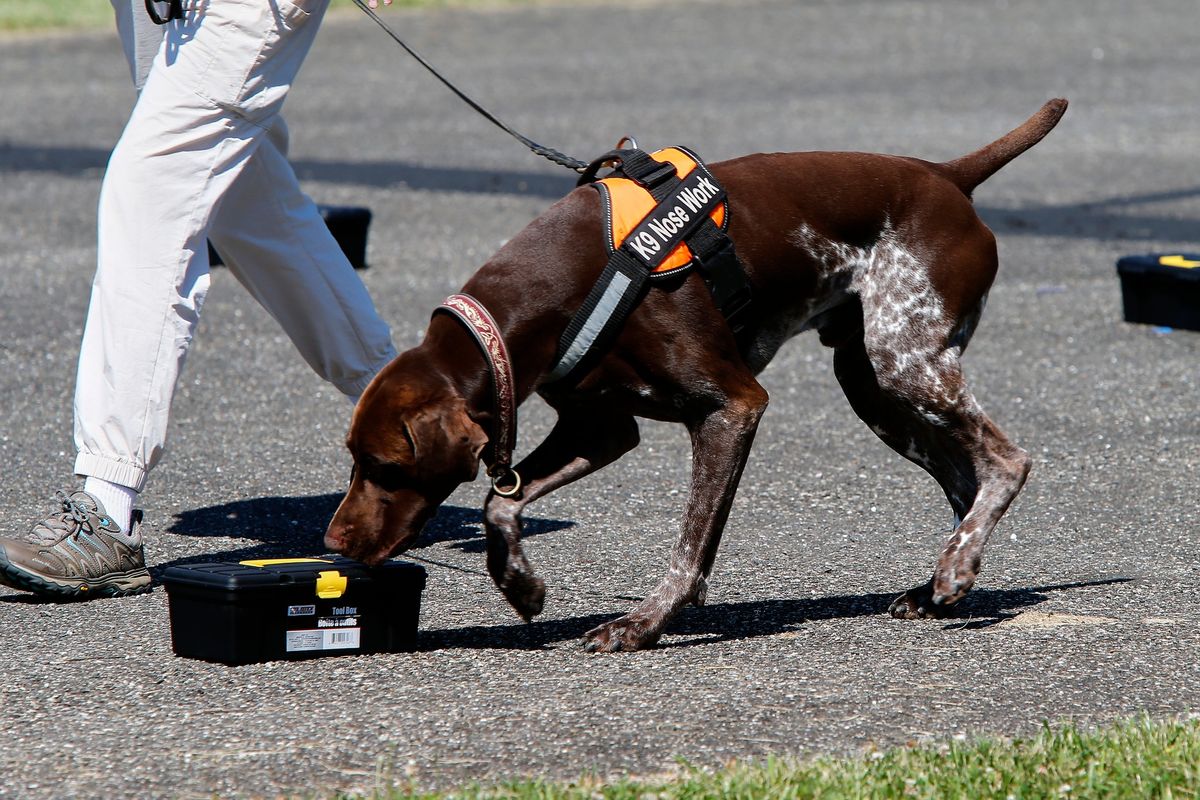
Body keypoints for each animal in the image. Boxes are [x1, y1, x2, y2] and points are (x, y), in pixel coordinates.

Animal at [324, 98, 1065, 652]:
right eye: (355, 461)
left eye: (385, 467)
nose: (333, 543)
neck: (553, 290)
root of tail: (947, 175)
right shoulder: (601, 428)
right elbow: (499, 502)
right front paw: (519, 584)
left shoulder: (730, 407)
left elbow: (690, 546)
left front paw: (645, 623)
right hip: (876, 388)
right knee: (965, 481)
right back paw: (942, 583)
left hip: (905, 364)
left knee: (1006, 462)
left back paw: (954, 567)